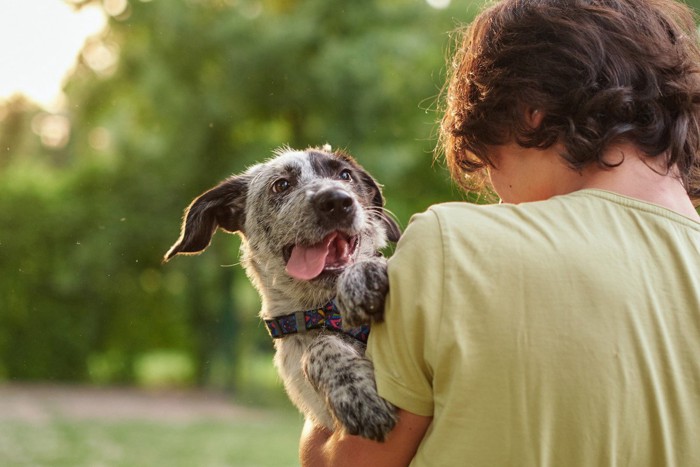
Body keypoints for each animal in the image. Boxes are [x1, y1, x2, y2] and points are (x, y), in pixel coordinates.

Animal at [165, 147, 402, 442]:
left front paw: (363, 276)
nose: (336, 201)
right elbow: (319, 347)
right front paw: (355, 392)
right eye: (281, 185)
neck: (326, 312)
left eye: (345, 175)